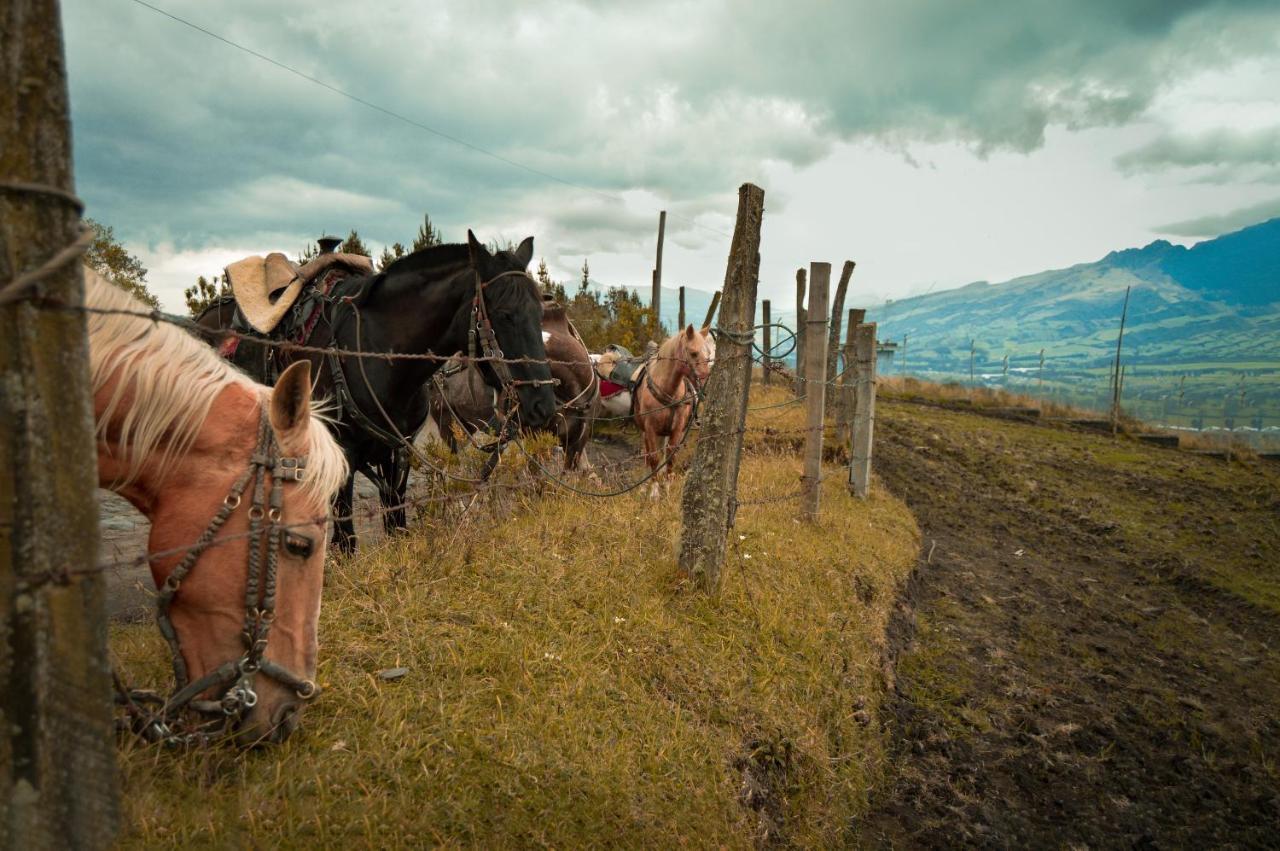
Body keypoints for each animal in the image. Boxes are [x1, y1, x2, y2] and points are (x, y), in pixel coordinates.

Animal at [194, 232, 555, 550]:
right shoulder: (343, 453)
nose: (543, 404)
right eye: (505, 315)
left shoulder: (398, 453)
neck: (376, 353)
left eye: (540, 313)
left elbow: (396, 528)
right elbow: (345, 542)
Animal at [634, 325, 716, 499]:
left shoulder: (677, 430)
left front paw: (666, 489)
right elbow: (653, 458)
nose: (706, 384)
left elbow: (670, 458)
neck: (668, 391)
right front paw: (654, 492)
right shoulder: (650, 429)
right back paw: (644, 487)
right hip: (645, 432)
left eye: (708, 355)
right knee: (647, 455)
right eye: (693, 353)